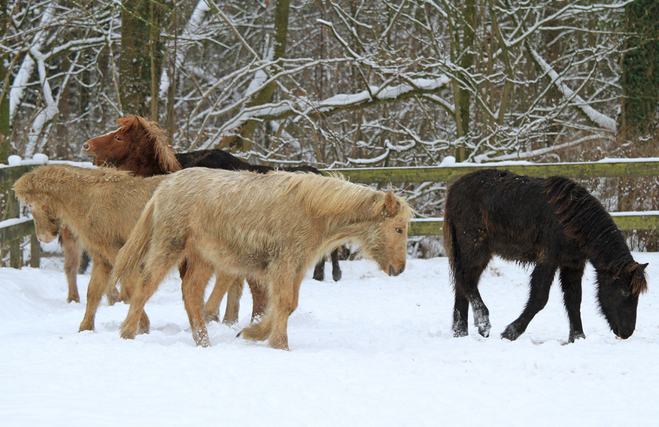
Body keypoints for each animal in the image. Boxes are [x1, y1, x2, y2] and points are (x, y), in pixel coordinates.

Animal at [444, 169, 648, 342]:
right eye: (625, 291)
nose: (627, 332)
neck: (572, 220)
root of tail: (455, 188)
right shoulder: (548, 259)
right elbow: (539, 298)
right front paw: (511, 332)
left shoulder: (573, 264)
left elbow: (574, 300)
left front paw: (578, 338)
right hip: (475, 248)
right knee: (465, 278)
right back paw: (483, 324)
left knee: (462, 284)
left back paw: (460, 332)